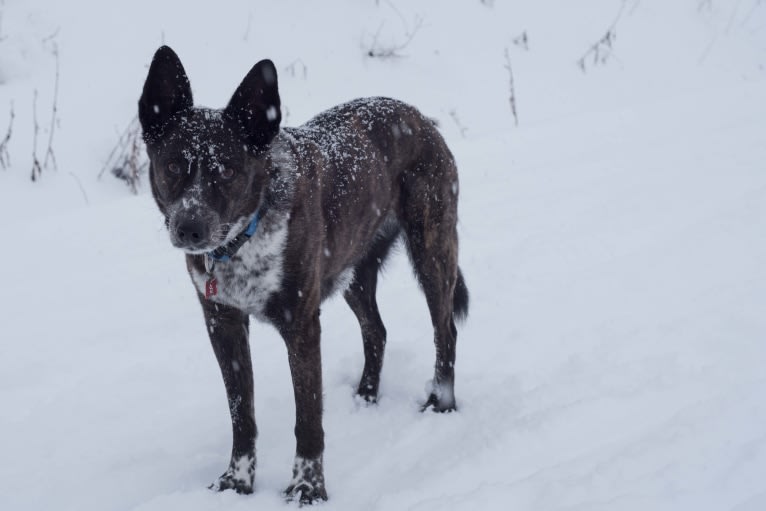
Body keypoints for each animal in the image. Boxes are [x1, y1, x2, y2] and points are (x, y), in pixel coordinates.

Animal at [141, 45, 472, 504]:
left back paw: (441, 403)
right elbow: (241, 414)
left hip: (431, 251)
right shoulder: (222, 323)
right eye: (173, 166)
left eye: (227, 170)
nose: (190, 228)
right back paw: (367, 395)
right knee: (377, 329)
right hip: (352, 269)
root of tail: (419, 117)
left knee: (445, 329)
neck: (245, 237)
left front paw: (307, 487)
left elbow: (308, 418)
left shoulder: (301, 324)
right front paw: (237, 483)